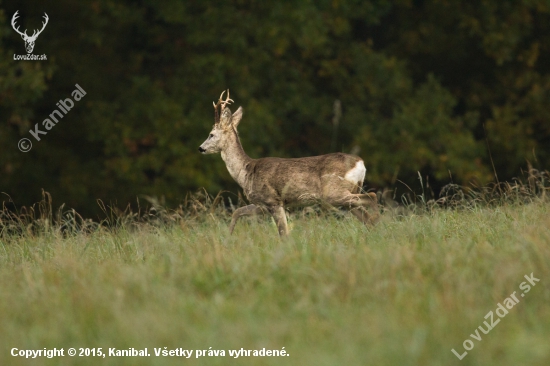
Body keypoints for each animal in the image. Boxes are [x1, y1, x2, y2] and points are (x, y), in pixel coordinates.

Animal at [199, 90, 380, 236]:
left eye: (211, 134)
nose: (201, 148)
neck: (245, 172)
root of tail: (360, 163)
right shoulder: (261, 204)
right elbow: (237, 211)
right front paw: (228, 237)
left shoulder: (272, 200)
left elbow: (283, 233)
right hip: (348, 195)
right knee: (366, 216)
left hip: (333, 193)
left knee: (372, 197)